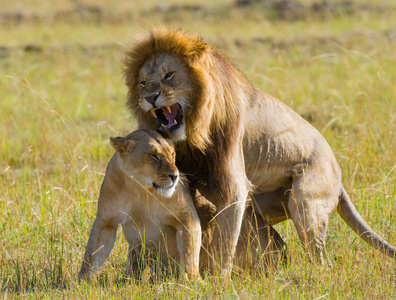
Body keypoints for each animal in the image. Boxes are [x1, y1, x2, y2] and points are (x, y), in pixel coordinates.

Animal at [78, 129, 201, 282]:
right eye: (153, 155)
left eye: (172, 154)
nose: (175, 176)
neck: (140, 188)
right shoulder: (105, 222)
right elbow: (92, 254)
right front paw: (81, 282)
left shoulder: (186, 217)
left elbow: (190, 251)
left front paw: (191, 281)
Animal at [123, 28, 392, 274]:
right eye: (142, 83)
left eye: (169, 75)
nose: (150, 97)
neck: (193, 133)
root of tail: (338, 173)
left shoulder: (232, 183)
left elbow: (225, 241)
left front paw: (217, 281)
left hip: (305, 203)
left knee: (321, 259)